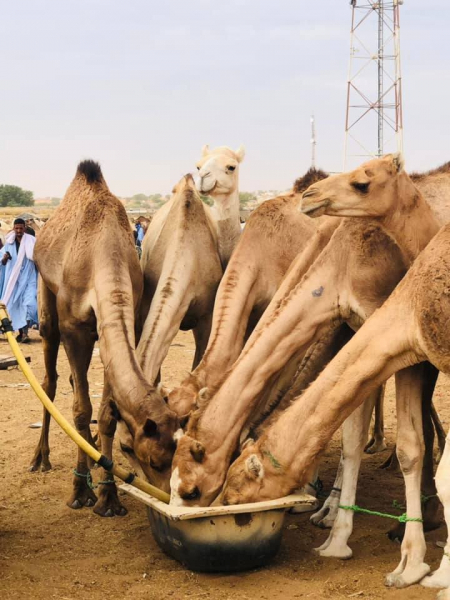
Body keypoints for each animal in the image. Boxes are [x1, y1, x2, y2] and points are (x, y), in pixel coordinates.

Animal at [29, 161, 179, 516]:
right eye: (149, 458)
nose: (167, 496)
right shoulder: (74, 327)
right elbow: (81, 410)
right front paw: (80, 491)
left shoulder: (127, 319)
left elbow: (109, 412)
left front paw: (109, 496)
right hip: (45, 295)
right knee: (50, 380)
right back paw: (41, 458)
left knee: (74, 380)